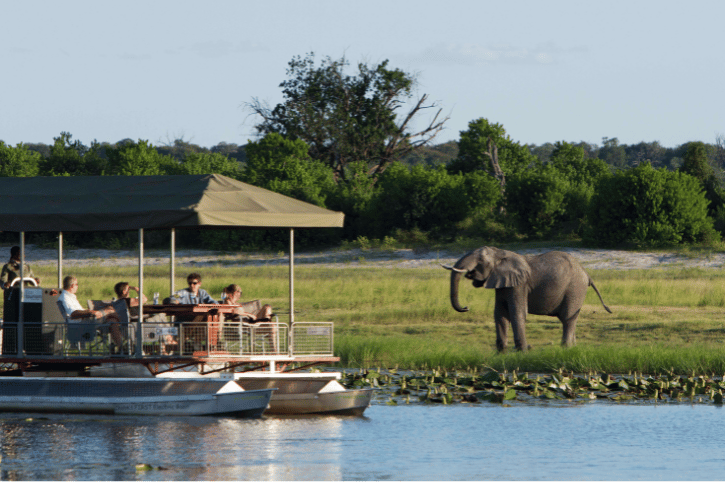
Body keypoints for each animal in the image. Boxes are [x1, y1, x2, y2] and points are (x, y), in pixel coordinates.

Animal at [443, 247, 611, 351]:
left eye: (480, 261)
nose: (466, 307)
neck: (500, 253)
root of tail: (587, 274)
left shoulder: (520, 284)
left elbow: (517, 312)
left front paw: (523, 351)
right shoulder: (502, 283)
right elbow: (500, 314)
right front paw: (501, 352)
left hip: (575, 289)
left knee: (568, 318)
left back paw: (565, 348)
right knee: (569, 320)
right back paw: (572, 348)